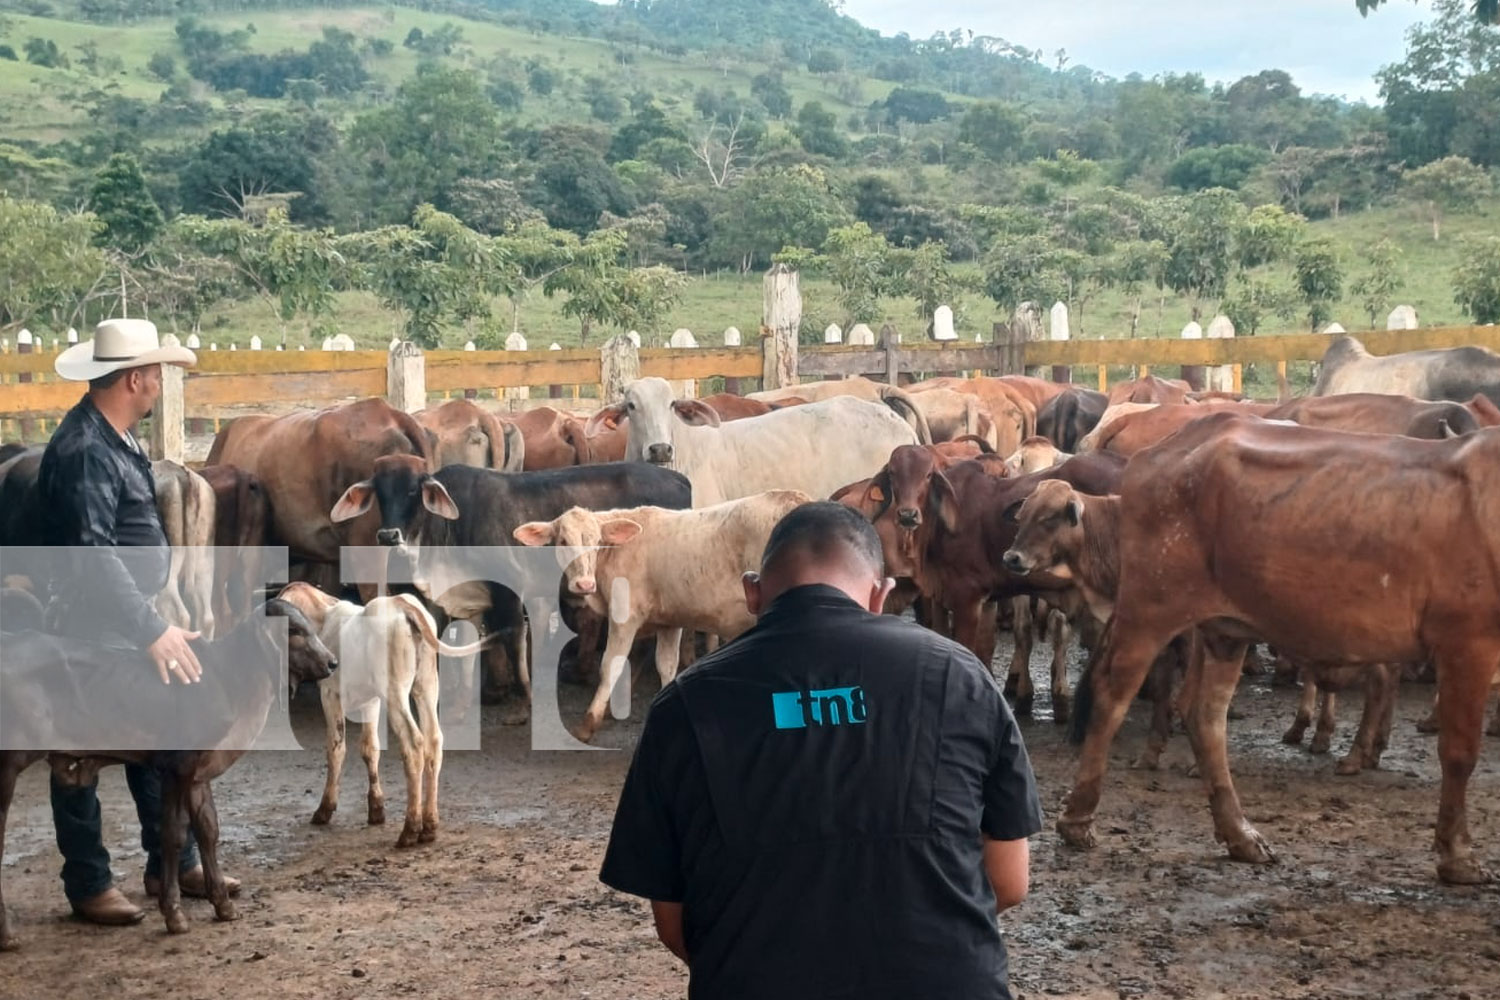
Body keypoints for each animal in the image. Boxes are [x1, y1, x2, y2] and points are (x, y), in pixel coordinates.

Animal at [279, 581, 489, 851]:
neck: (324, 618)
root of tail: (403, 604)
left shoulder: (330, 695)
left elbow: (336, 749)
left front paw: (324, 809)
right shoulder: (371, 701)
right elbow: (370, 748)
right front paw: (376, 809)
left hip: (395, 691)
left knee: (414, 743)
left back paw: (410, 829)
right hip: (426, 683)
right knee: (433, 740)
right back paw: (429, 826)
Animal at [513, 491, 810, 743]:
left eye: (597, 541)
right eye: (563, 541)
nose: (583, 584)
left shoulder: (624, 617)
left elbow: (610, 666)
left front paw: (588, 724)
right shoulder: (669, 621)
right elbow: (667, 665)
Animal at [1056, 413, 1500, 881]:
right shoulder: (1468, 642)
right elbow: (1460, 752)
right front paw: (1457, 855)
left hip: (1225, 630)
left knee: (1205, 716)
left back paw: (1240, 835)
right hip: (1150, 606)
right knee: (1112, 695)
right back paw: (1077, 818)